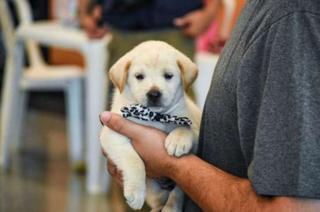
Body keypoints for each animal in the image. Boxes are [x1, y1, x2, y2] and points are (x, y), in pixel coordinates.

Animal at [99, 40, 200, 211]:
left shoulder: (193, 126)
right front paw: (136, 193)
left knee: (176, 194)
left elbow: (186, 127)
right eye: (139, 76)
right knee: (159, 198)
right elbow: (134, 160)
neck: (155, 117)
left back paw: (170, 208)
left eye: (168, 76)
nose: (154, 94)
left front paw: (178, 140)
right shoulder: (112, 134)